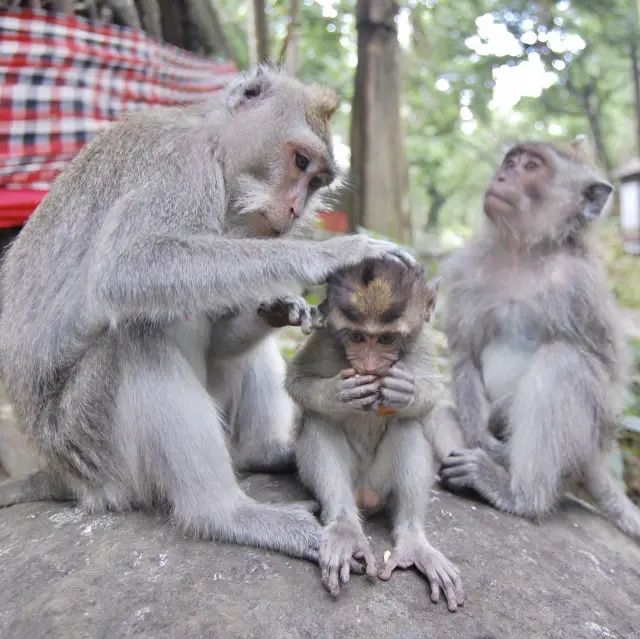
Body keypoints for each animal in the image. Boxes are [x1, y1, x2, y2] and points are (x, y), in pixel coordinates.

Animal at [0, 67, 416, 564]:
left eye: (317, 181)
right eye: (299, 162)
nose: (295, 208)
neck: (216, 148)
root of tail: (59, 470)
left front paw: (282, 306)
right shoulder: (182, 166)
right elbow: (127, 267)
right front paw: (331, 253)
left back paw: (263, 453)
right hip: (89, 445)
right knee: (137, 336)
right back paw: (227, 514)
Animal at [288, 258, 462, 612]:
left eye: (385, 341)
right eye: (356, 336)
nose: (368, 364)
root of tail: (365, 496)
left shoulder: (420, 344)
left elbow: (431, 394)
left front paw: (407, 392)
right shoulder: (324, 340)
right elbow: (296, 380)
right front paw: (335, 394)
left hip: (381, 484)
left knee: (407, 425)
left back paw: (414, 542)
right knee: (319, 421)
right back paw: (345, 528)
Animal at [438, 138, 640, 544]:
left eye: (531, 167)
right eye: (510, 162)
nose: (501, 177)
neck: (524, 255)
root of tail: (597, 462)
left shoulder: (581, 287)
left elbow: (606, 372)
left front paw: (503, 417)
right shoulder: (469, 269)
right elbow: (465, 353)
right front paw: (483, 434)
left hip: (583, 446)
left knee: (564, 363)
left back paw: (516, 492)